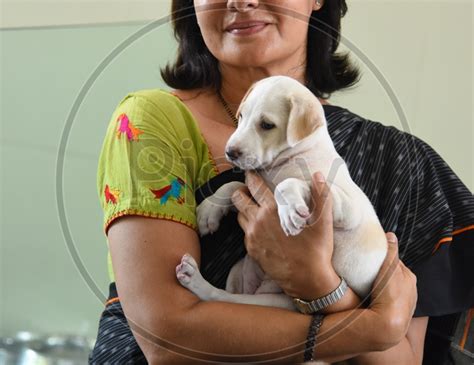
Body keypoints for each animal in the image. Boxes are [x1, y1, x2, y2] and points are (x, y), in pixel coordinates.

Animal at [176, 76, 386, 310]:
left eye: (267, 125)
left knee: (224, 298)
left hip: (282, 303)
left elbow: (287, 183)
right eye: (241, 116)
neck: (289, 158)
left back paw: (197, 281)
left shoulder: (348, 208)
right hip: (238, 272)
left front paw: (290, 210)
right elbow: (233, 185)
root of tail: (255, 289)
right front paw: (210, 209)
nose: (230, 152)